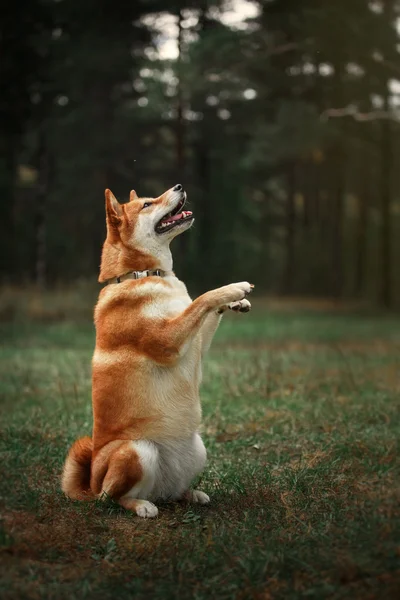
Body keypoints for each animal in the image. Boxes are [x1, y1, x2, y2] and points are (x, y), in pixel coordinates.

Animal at [61, 183, 252, 516]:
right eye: (148, 204)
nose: (178, 186)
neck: (145, 274)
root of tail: (91, 486)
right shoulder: (168, 342)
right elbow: (202, 298)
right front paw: (234, 288)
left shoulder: (195, 346)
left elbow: (205, 312)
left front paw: (236, 303)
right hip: (137, 452)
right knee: (113, 498)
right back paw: (141, 506)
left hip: (198, 450)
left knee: (170, 492)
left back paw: (189, 494)